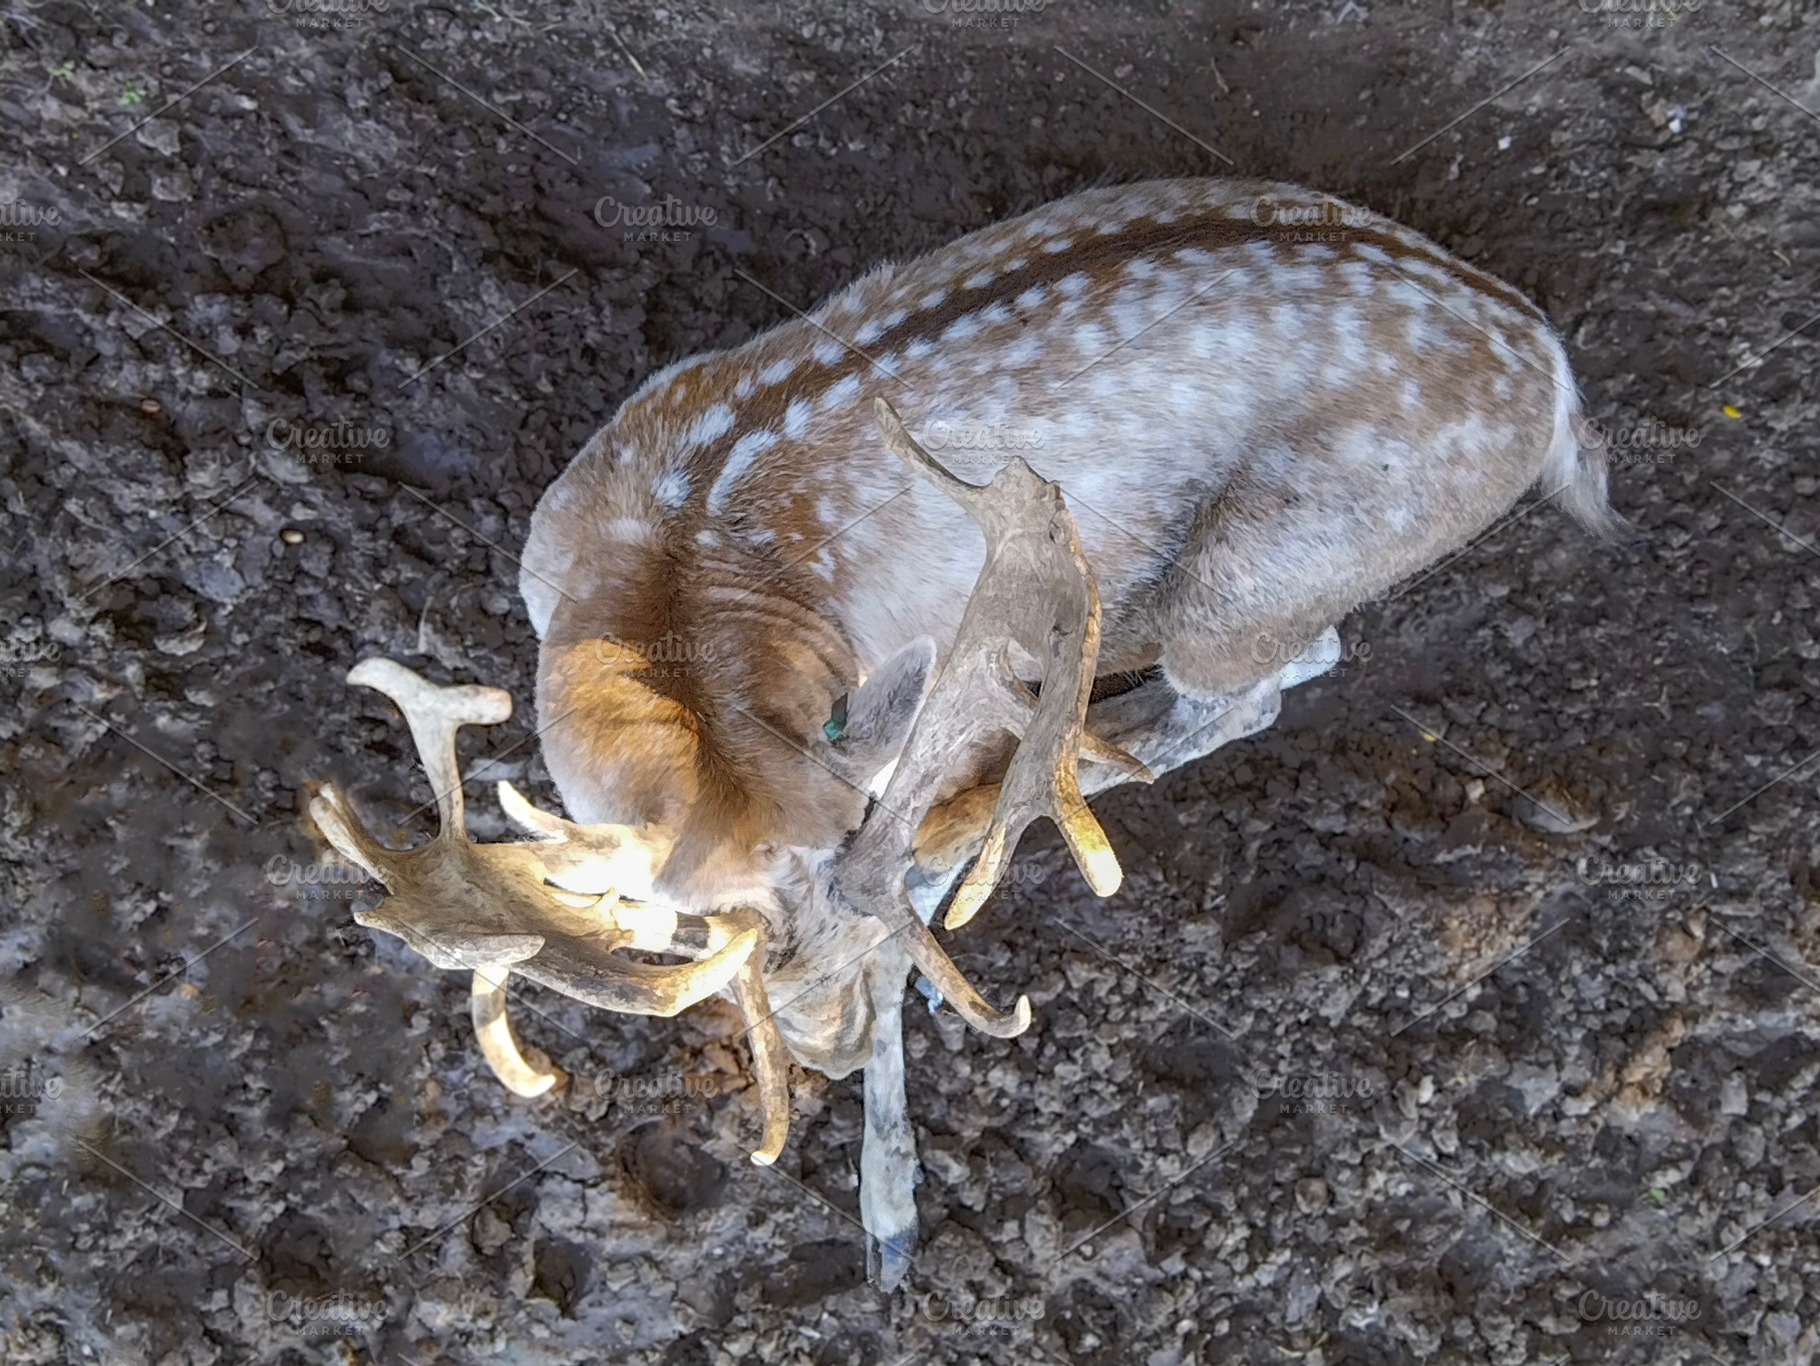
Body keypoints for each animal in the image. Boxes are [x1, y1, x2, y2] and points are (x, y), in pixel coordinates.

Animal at [310, 177, 1613, 1291]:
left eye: (829, 908)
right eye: (702, 928)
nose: (825, 1043)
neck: (671, 598)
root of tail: (1557, 389)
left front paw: (889, 1215)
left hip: (1252, 581)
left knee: (1268, 676)